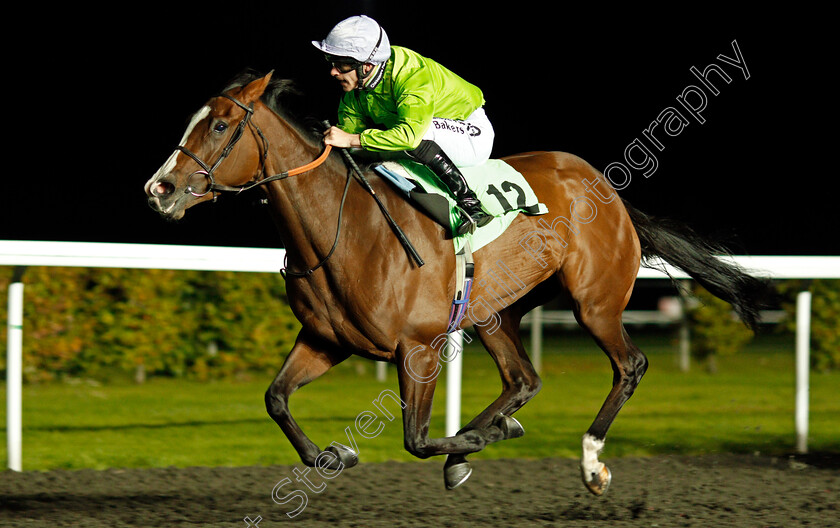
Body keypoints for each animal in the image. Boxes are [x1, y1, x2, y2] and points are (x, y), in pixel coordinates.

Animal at [143, 70, 768, 496]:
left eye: (220, 125)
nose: (159, 189)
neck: (345, 232)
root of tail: (608, 189)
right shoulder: (326, 340)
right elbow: (275, 399)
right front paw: (334, 457)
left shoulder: (418, 347)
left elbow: (415, 439)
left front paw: (472, 443)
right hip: (494, 312)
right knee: (523, 379)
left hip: (594, 303)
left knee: (628, 365)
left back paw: (589, 462)